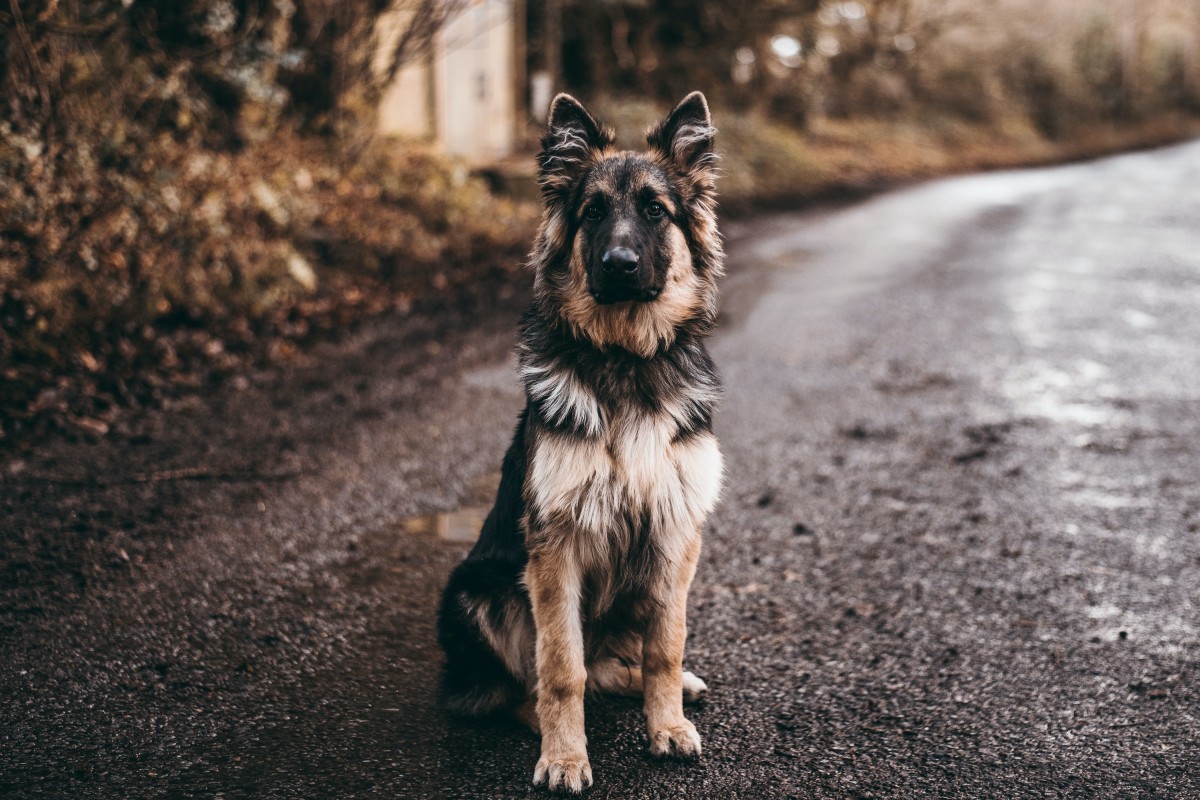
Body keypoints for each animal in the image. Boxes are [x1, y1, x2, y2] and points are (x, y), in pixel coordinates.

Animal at [439, 92, 720, 796]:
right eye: (592, 212)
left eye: (655, 210)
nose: (618, 265)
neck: (624, 359)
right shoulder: (555, 548)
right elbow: (560, 667)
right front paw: (566, 756)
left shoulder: (675, 532)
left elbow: (666, 645)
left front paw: (666, 725)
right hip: (476, 590)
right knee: (525, 686)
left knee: (617, 664)